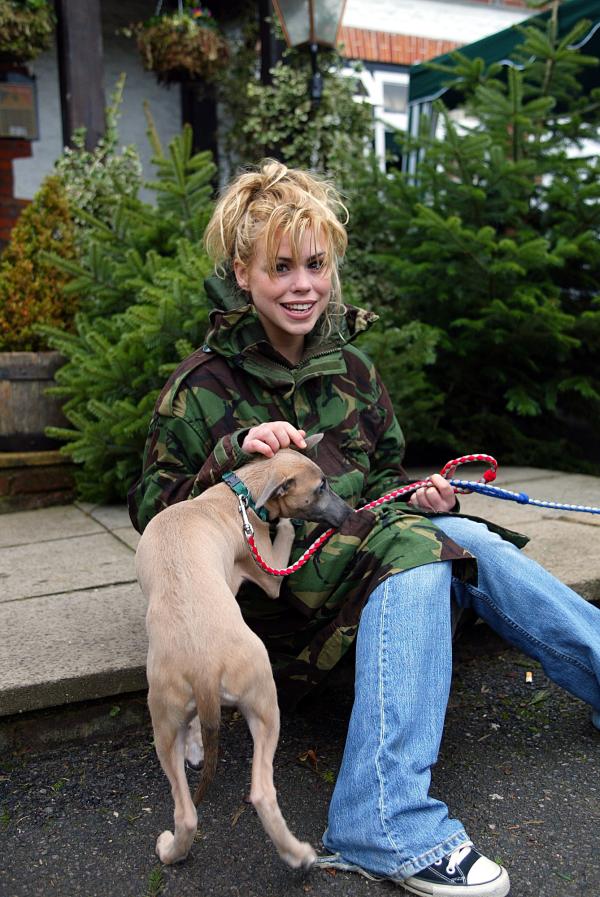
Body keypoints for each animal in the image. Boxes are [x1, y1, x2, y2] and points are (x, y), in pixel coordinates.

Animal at [135, 436, 352, 868]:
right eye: (320, 487)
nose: (351, 514)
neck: (236, 494)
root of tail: (203, 668)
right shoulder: (269, 572)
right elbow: (279, 542)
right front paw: (285, 523)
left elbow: (195, 728)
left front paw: (197, 746)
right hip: (267, 703)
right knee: (262, 792)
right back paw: (300, 856)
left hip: (164, 720)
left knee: (186, 812)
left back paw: (171, 850)